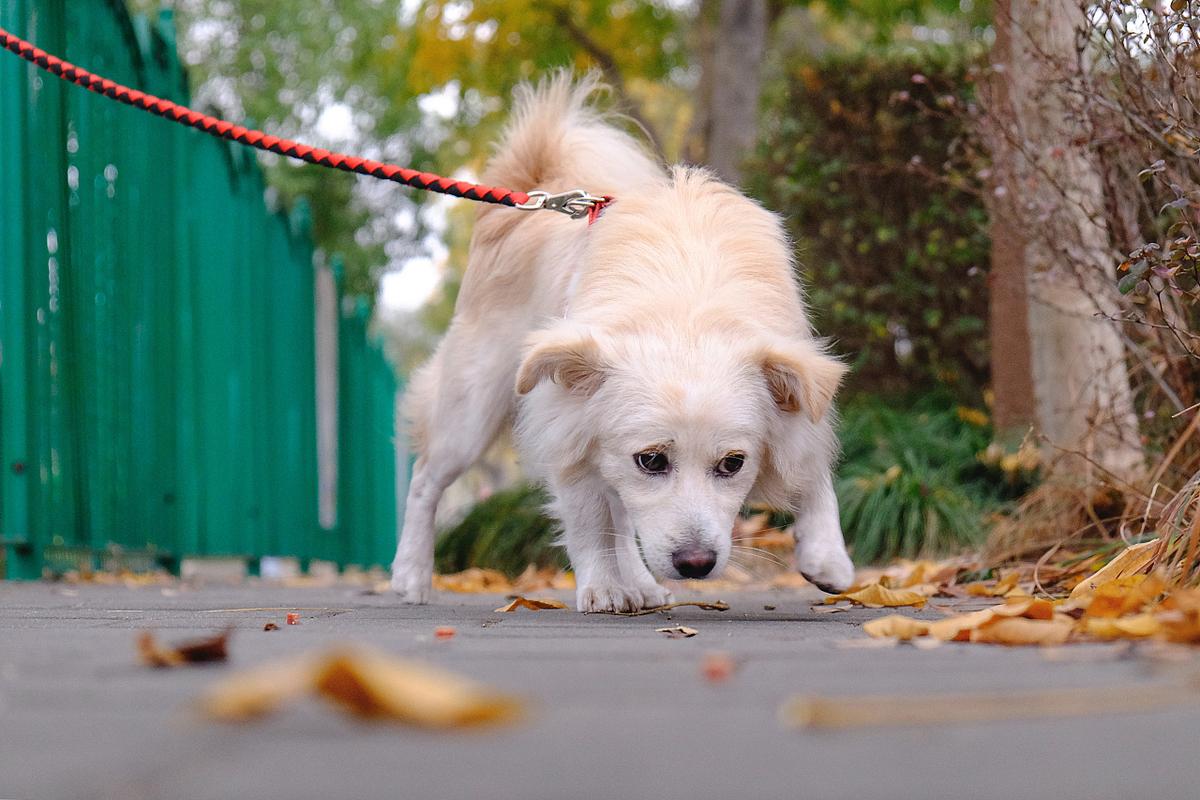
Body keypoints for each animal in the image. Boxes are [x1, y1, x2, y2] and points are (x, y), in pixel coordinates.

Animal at [393, 76, 854, 614]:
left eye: (733, 464)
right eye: (652, 460)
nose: (695, 565)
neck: (685, 310)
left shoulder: (802, 390)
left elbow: (812, 465)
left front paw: (828, 555)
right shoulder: (567, 425)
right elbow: (590, 523)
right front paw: (603, 588)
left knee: (622, 512)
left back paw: (642, 585)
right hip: (472, 408)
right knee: (425, 479)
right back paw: (410, 576)